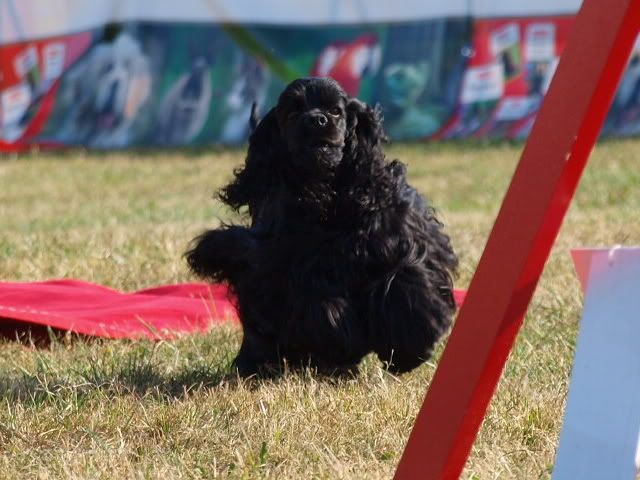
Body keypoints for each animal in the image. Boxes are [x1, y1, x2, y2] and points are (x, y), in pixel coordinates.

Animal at [187, 77, 458, 376]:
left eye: (336, 111)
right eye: (292, 111)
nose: (316, 119)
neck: (325, 193)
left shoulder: (398, 237)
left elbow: (406, 279)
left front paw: (410, 349)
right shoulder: (287, 263)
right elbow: (319, 305)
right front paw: (340, 343)